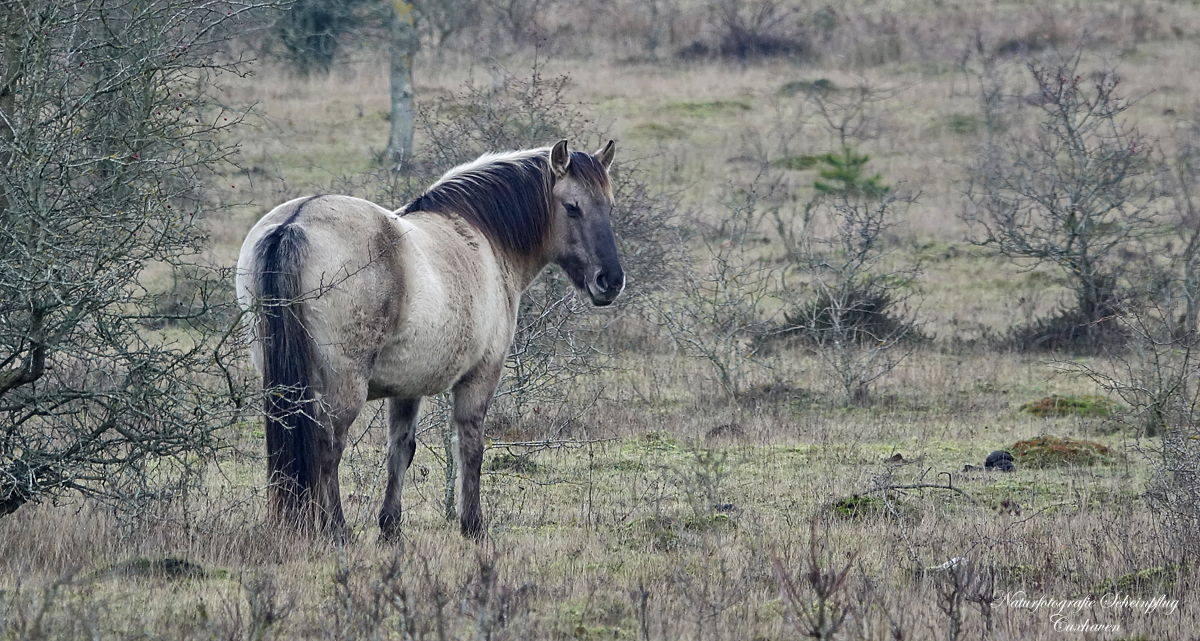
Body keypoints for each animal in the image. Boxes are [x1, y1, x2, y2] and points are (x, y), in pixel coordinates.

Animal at [236, 140, 628, 542]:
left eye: (608, 207)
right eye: (572, 207)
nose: (610, 281)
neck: (483, 237)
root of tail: (295, 221)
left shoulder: (407, 386)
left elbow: (400, 450)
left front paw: (390, 528)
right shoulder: (480, 377)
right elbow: (470, 448)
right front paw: (473, 526)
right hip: (344, 385)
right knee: (328, 447)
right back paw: (339, 533)